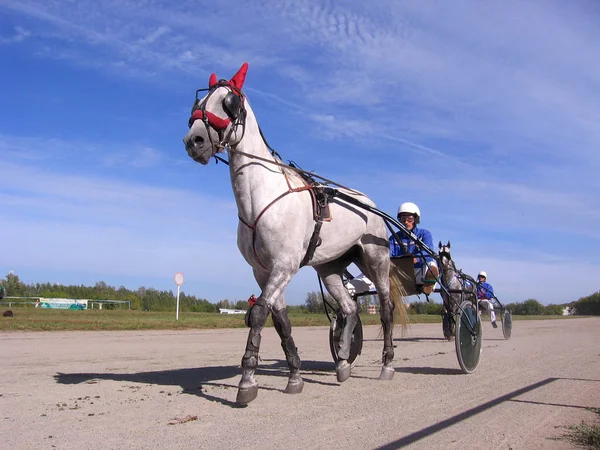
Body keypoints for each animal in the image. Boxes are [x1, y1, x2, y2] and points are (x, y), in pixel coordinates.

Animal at [183, 63, 408, 404]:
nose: (193, 140)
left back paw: (387, 364)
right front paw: (295, 375)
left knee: (384, 308)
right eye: (198, 102)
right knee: (349, 308)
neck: (262, 198)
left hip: (375, 260)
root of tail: (369, 204)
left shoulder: (284, 265)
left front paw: (247, 381)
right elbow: (280, 321)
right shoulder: (263, 271)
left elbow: (258, 314)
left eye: (229, 102)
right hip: (329, 269)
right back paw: (343, 361)